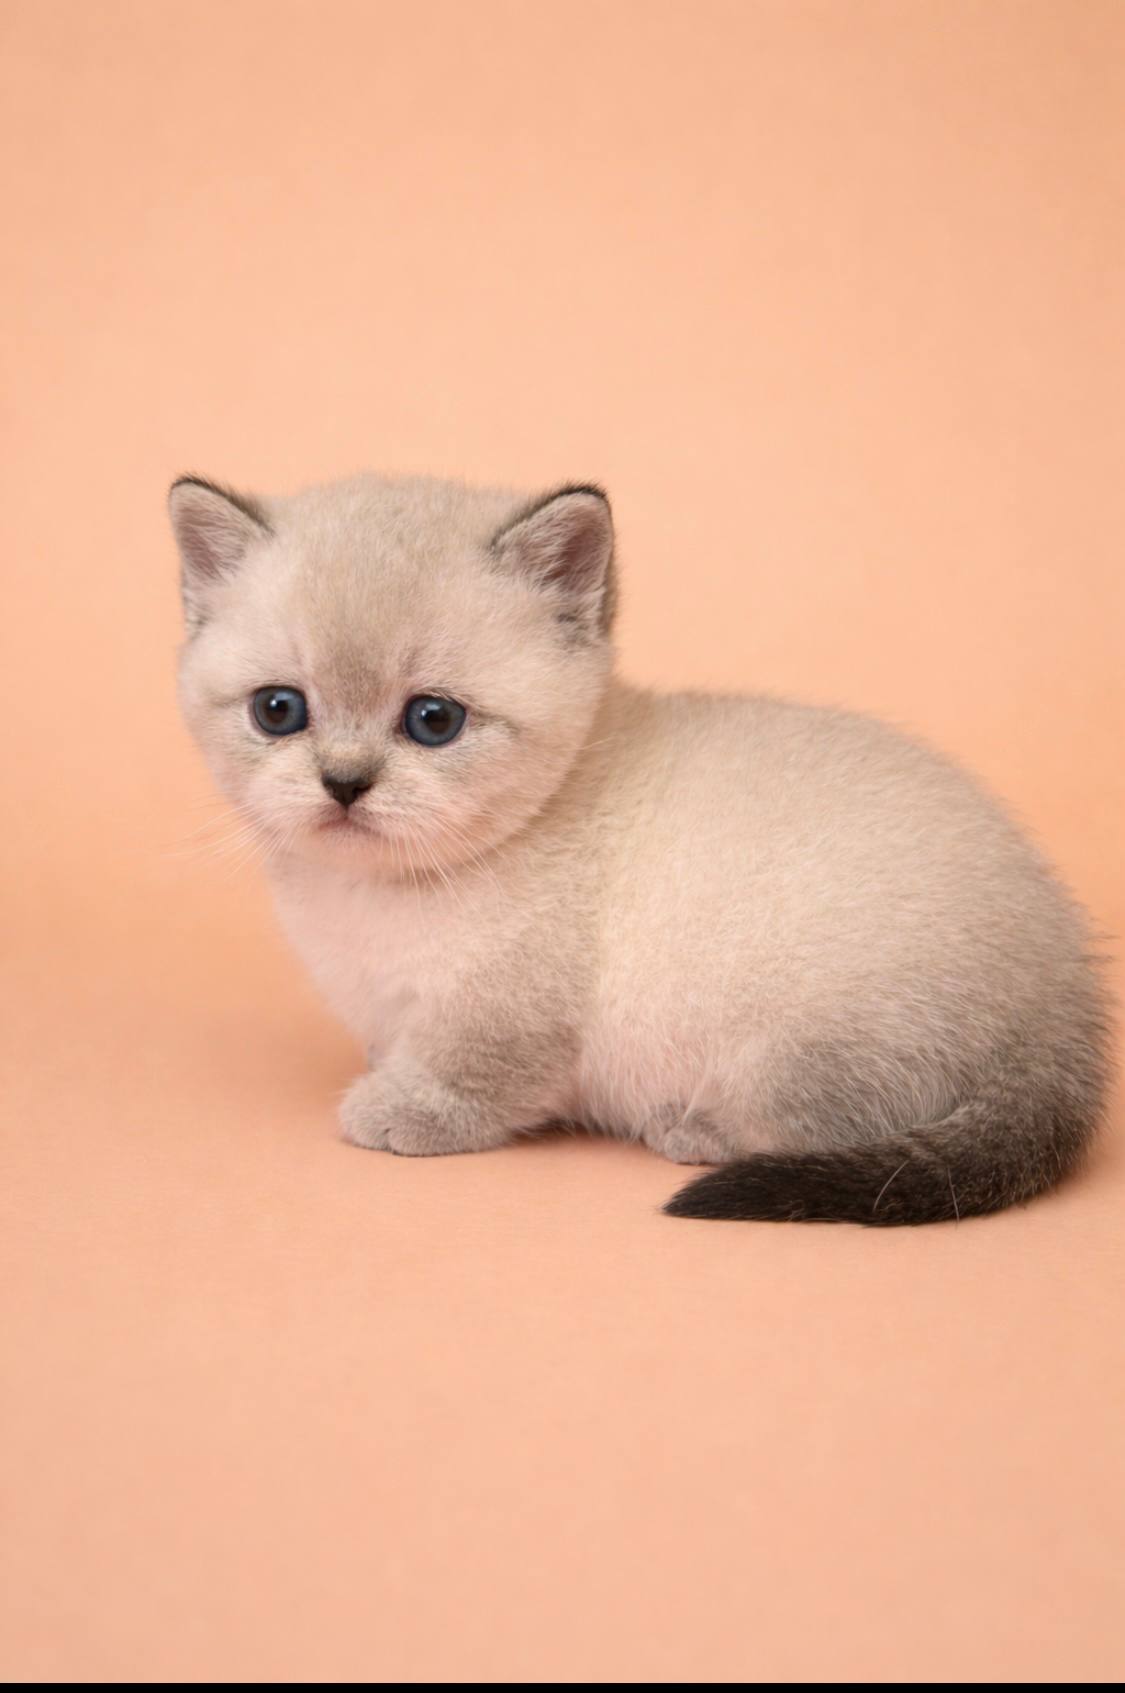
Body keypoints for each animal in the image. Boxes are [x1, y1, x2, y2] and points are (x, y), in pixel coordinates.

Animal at [170, 472, 1111, 1225]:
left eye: (433, 720)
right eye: (279, 710)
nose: (343, 782)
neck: (371, 899)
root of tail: (1062, 1005)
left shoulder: (507, 1008)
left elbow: (472, 1076)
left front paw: (400, 1112)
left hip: (788, 1034)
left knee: (825, 1120)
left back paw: (690, 1126)